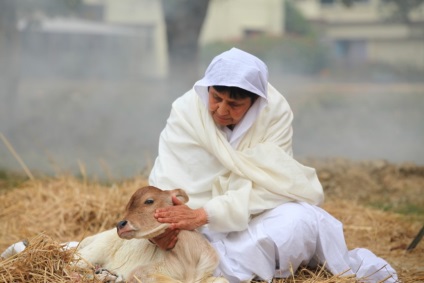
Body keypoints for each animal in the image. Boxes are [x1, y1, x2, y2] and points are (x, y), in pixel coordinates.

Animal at [77, 186, 229, 283]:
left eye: (149, 201)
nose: (120, 224)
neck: (189, 258)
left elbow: (223, 280)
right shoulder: (141, 273)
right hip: (92, 252)